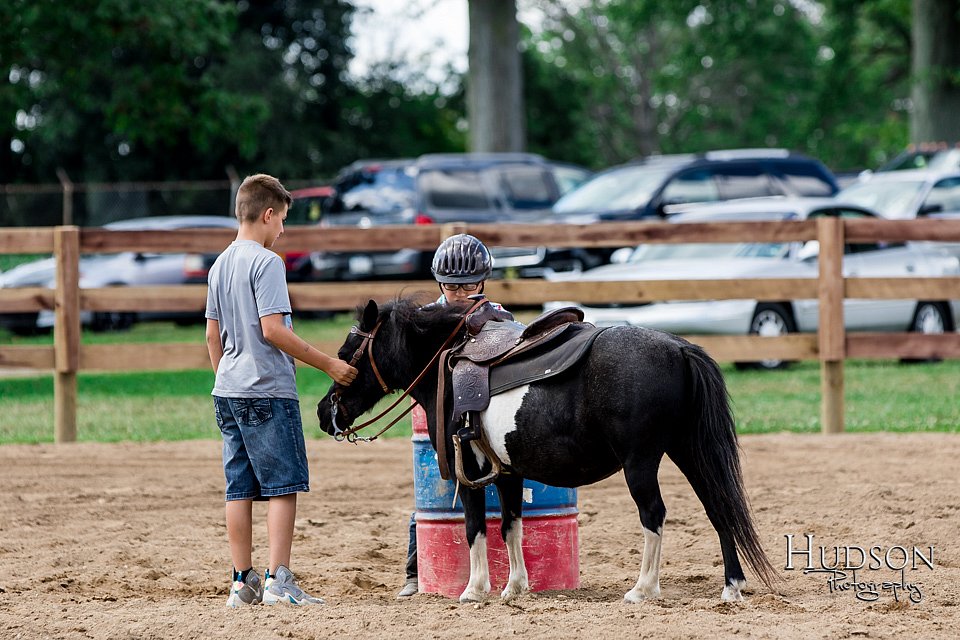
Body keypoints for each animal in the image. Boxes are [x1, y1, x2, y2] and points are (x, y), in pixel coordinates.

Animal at [318, 298, 776, 604]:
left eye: (344, 354)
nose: (325, 412)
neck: (445, 365)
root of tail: (678, 348)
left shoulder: (471, 471)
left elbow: (474, 526)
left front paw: (475, 589)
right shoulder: (506, 470)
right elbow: (511, 525)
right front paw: (514, 587)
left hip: (641, 463)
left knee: (654, 515)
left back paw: (642, 589)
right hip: (690, 452)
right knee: (718, 507)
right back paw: (732, 586)